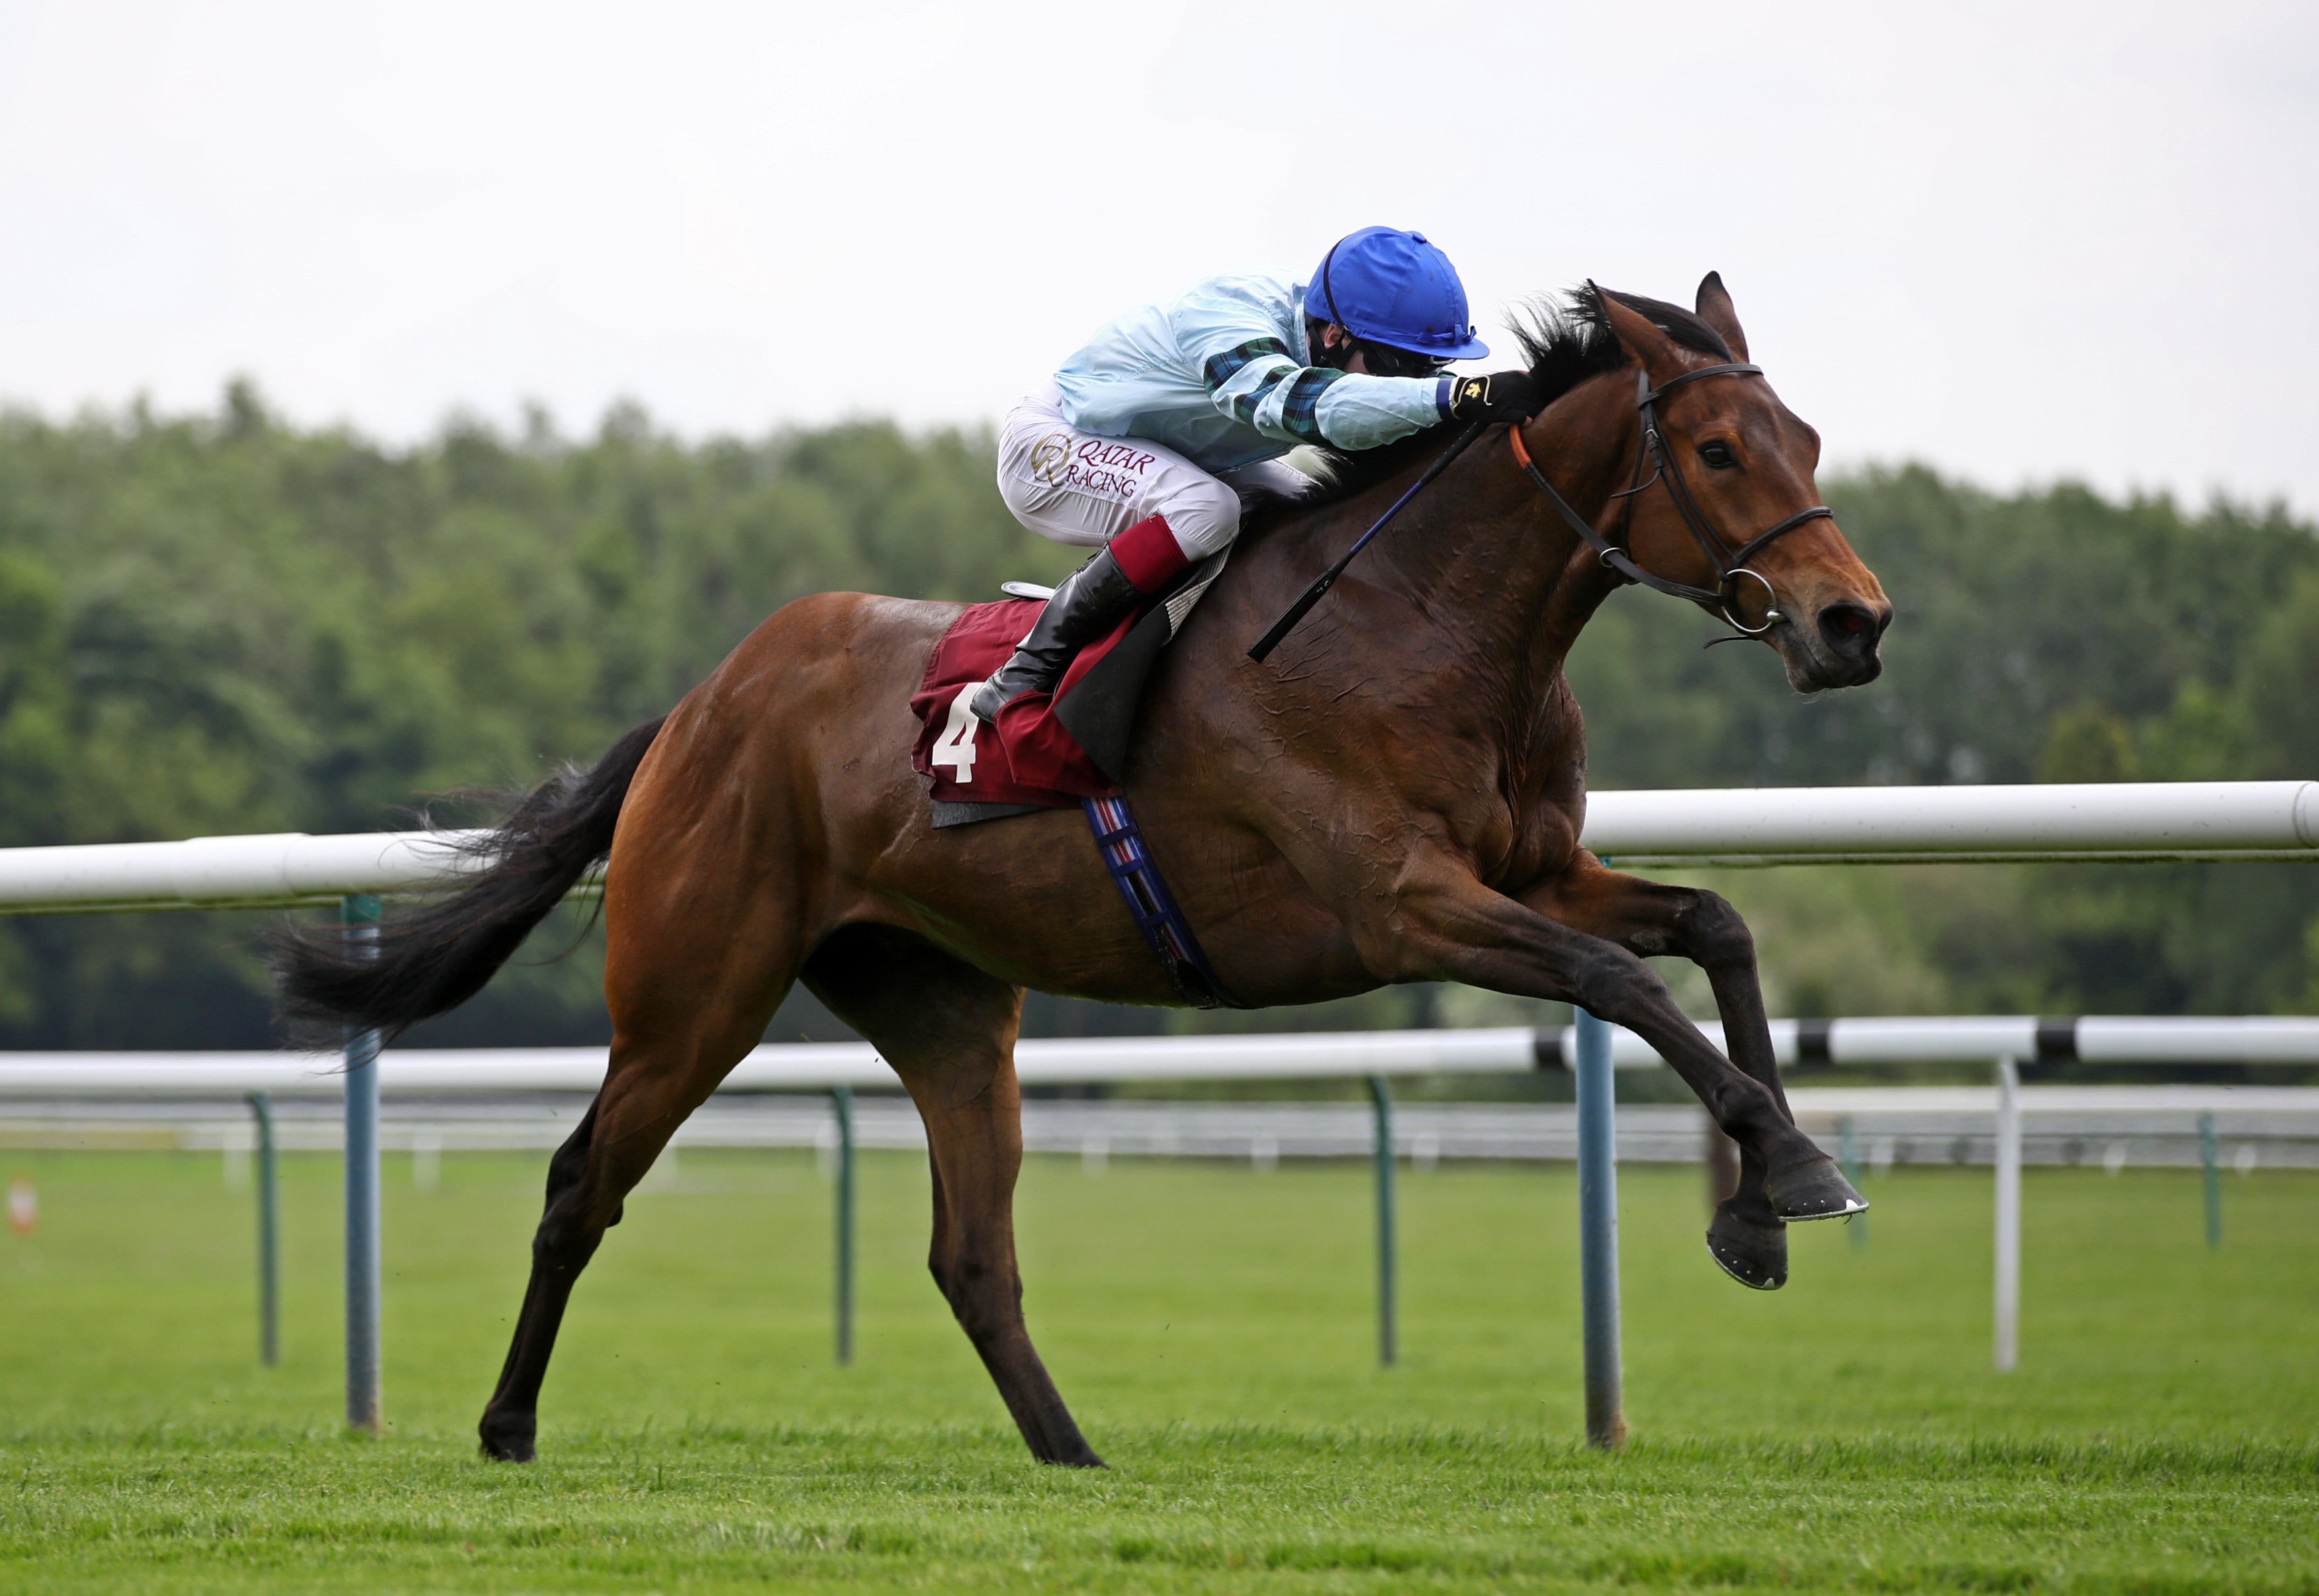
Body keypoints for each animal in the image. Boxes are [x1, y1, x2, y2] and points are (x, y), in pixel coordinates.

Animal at [274, 276, 1892, 1468]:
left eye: (1809, 437)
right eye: (1717, 451)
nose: (1851, 623)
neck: (1425, 621)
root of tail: (700, 705)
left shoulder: (1536, 871)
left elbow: (1713, 929)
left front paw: (1764, 1204)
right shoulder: (1403, 906)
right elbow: (1624, 977)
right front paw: (1793, 1172)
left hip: (940, 1005)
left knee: (970, 1256)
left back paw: (1072, 1456)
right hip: (695, 990)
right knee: (578, 1185)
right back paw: (506, 1426)